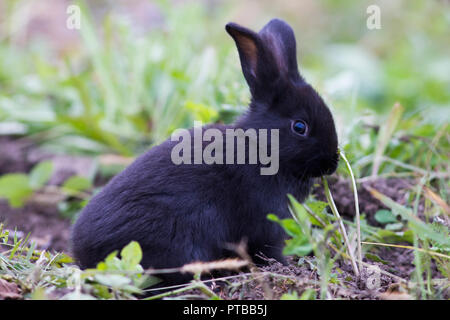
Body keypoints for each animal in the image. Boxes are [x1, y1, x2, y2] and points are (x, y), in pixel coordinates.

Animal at [70, 17, 338, 288]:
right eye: (300, 127)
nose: (332, 164)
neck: (261, 148)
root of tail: (83, 254)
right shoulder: (267, 221)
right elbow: (269, 249)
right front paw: (284, 267)